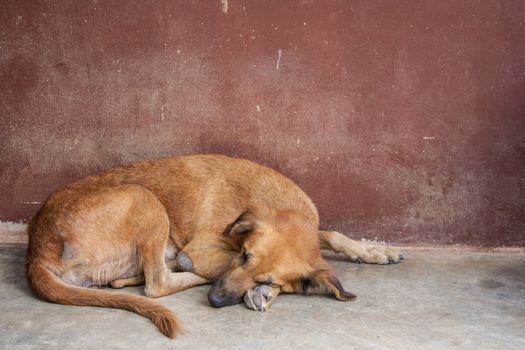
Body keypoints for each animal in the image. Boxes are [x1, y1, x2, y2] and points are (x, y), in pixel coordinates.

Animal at [25, 154, 402, 338]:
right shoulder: (204, 249)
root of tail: (35, 250)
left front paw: (374, 251)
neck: (282, 205)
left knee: (126, 280)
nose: (216, 301)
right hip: (143, 197)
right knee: (157, 284)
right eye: (245, 256)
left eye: (267, 276)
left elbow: (332, 234)